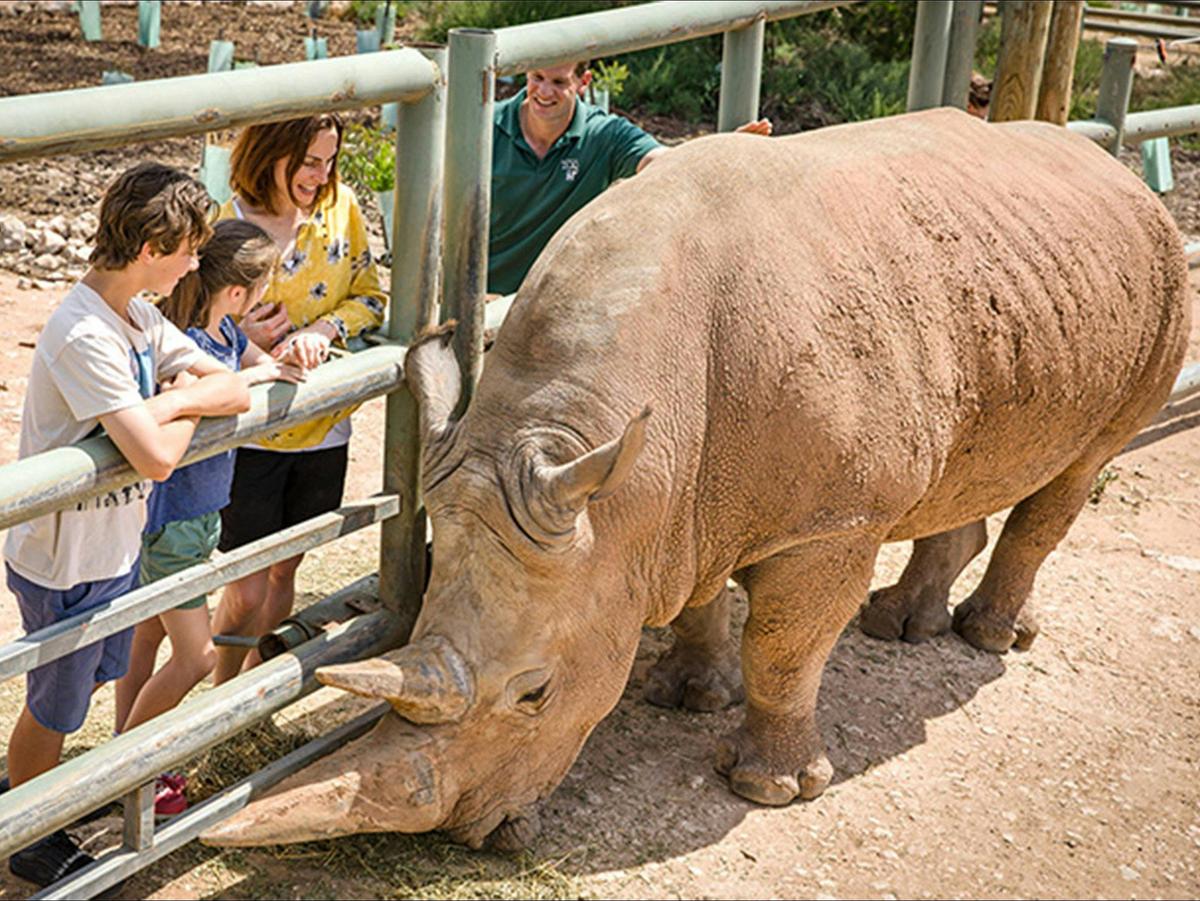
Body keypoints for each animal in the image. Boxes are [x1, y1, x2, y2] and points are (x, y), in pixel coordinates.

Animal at [203, 108, 1189, 850]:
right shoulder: (668, 496)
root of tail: (1111, 165)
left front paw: (772, 786)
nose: (468, 838)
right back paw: (901, 626)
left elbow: (784, 645)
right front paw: (687, 693)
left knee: (1079, 469)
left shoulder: (831, 516)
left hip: (1158, 273)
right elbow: (698, 597)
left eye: (536, 695)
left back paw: (985, 640)